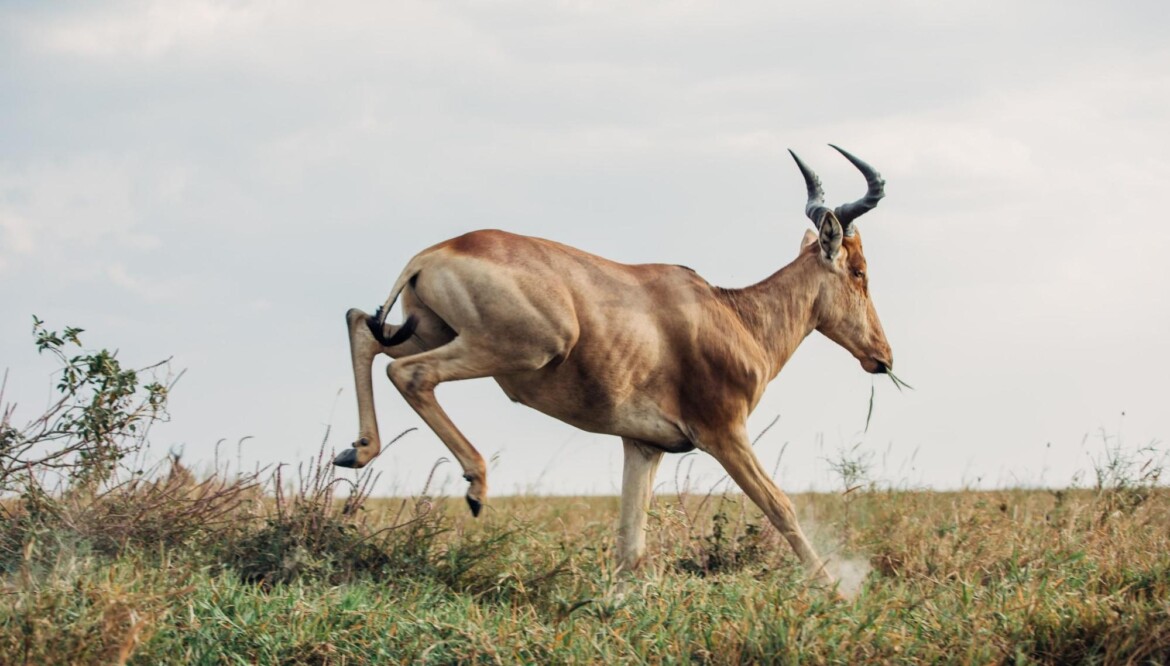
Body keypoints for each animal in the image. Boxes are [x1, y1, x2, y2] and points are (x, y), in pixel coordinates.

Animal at [339, 145, 893, 580]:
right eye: (859, 271)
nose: (883, 358)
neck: (730, 312)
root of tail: (432, 254)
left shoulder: (645, 446)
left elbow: (632, 544)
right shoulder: (724, 432)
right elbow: (781, 507)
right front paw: (834, 591)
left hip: (430, 330)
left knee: (361, 326)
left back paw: (357, 451)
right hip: (520, 346)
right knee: (408, 372)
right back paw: (474, 484)